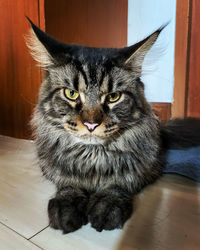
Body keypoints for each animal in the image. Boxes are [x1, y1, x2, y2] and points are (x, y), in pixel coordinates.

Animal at [25, 18, 200, 233]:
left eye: (113, 97)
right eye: (71, 94)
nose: (91, 124)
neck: (92, 158)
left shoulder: (146, 168)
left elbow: (120, 182)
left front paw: (107, 204)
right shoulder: (53, 168)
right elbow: (67, 181)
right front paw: (67, 202)